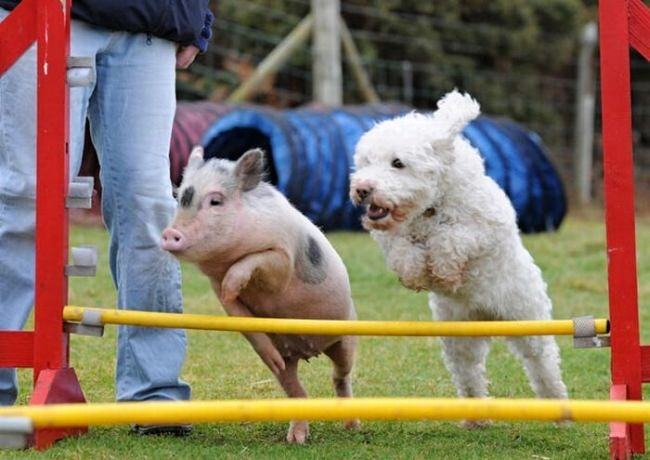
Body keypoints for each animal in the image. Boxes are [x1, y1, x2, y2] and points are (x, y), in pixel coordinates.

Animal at [159, 146, 356, 442]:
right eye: (180, 197)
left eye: (215, 201)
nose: (170, 233)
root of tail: (308, 350)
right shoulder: (215, 284)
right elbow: (238, 315)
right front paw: (232, 294)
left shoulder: (283, 258)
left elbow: (255, 260)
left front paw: (233, 283)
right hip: (289, 361)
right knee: (295, 389)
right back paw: (295, 439)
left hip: (346, 337)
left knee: (341, 375)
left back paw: (352, 425)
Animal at [350, 90, 568, 414]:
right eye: (365, 162)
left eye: (398, 163)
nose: (362, 188)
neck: (430, 209)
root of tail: (487, 315)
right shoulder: (390, 237)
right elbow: (402, 249)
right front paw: (415, 273)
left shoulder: (488, 226)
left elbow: (451, 237)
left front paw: (444, 269)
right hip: (459, 336)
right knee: (469, 374)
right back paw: (475, 415)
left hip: (527, 318)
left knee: (542, 362)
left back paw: (558, 403)